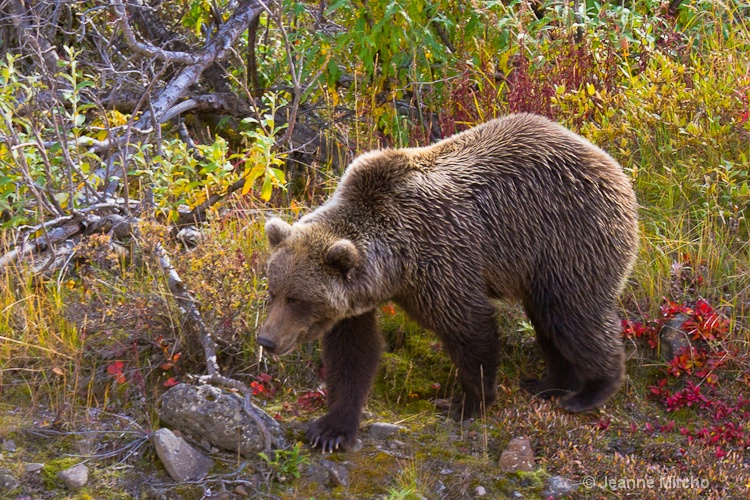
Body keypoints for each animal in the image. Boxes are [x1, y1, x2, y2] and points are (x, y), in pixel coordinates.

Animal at [258, 113, 640, 454]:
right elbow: (353, 353)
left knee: (571, 315)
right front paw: (331, 430)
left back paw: (591, 390)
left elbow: (469, 327)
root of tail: (611, 163)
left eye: (298, 299)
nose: (266, 340)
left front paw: (465, 403)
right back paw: (549, 383)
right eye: (273, 292)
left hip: (568, 239)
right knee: (547, 320)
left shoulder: (441, 258)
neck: (395, 261)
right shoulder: (355, 300)